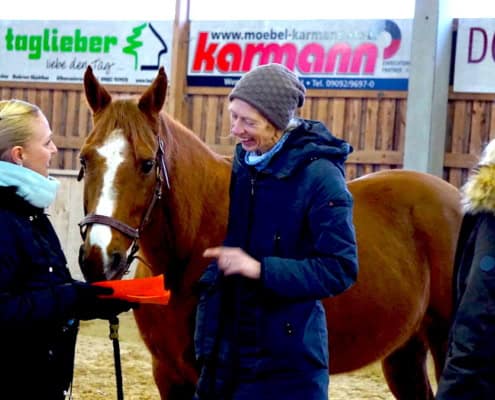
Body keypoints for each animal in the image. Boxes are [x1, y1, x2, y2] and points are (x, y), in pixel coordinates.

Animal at [76, 66, 462, 400]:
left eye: (147, 164)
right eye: (84, 160)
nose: (98, 258)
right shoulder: (168, 374)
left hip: (445, 341)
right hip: (405, 352)